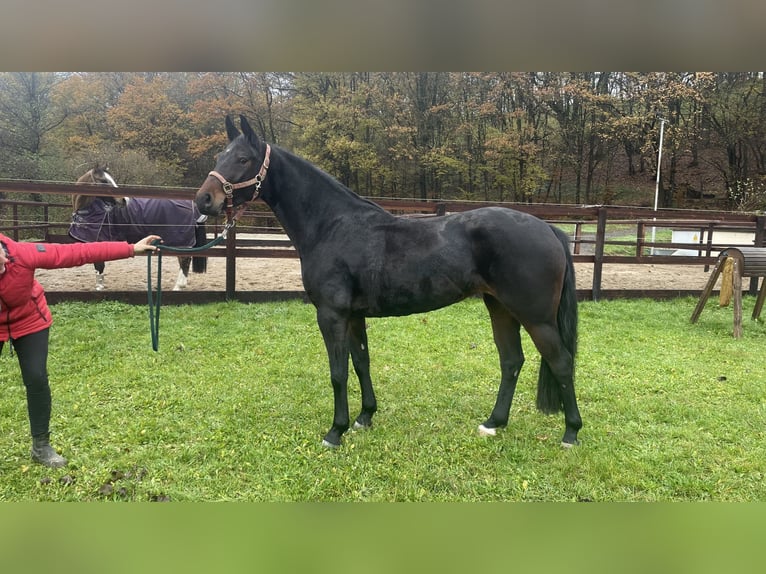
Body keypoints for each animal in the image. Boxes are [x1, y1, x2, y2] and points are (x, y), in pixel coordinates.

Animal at [71, 168, 208, 292]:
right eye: (104, 181)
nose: (124, 200)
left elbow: (99, 266)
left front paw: (99, 287)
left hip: (181, 242)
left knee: (184, 261)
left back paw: (178, 287)